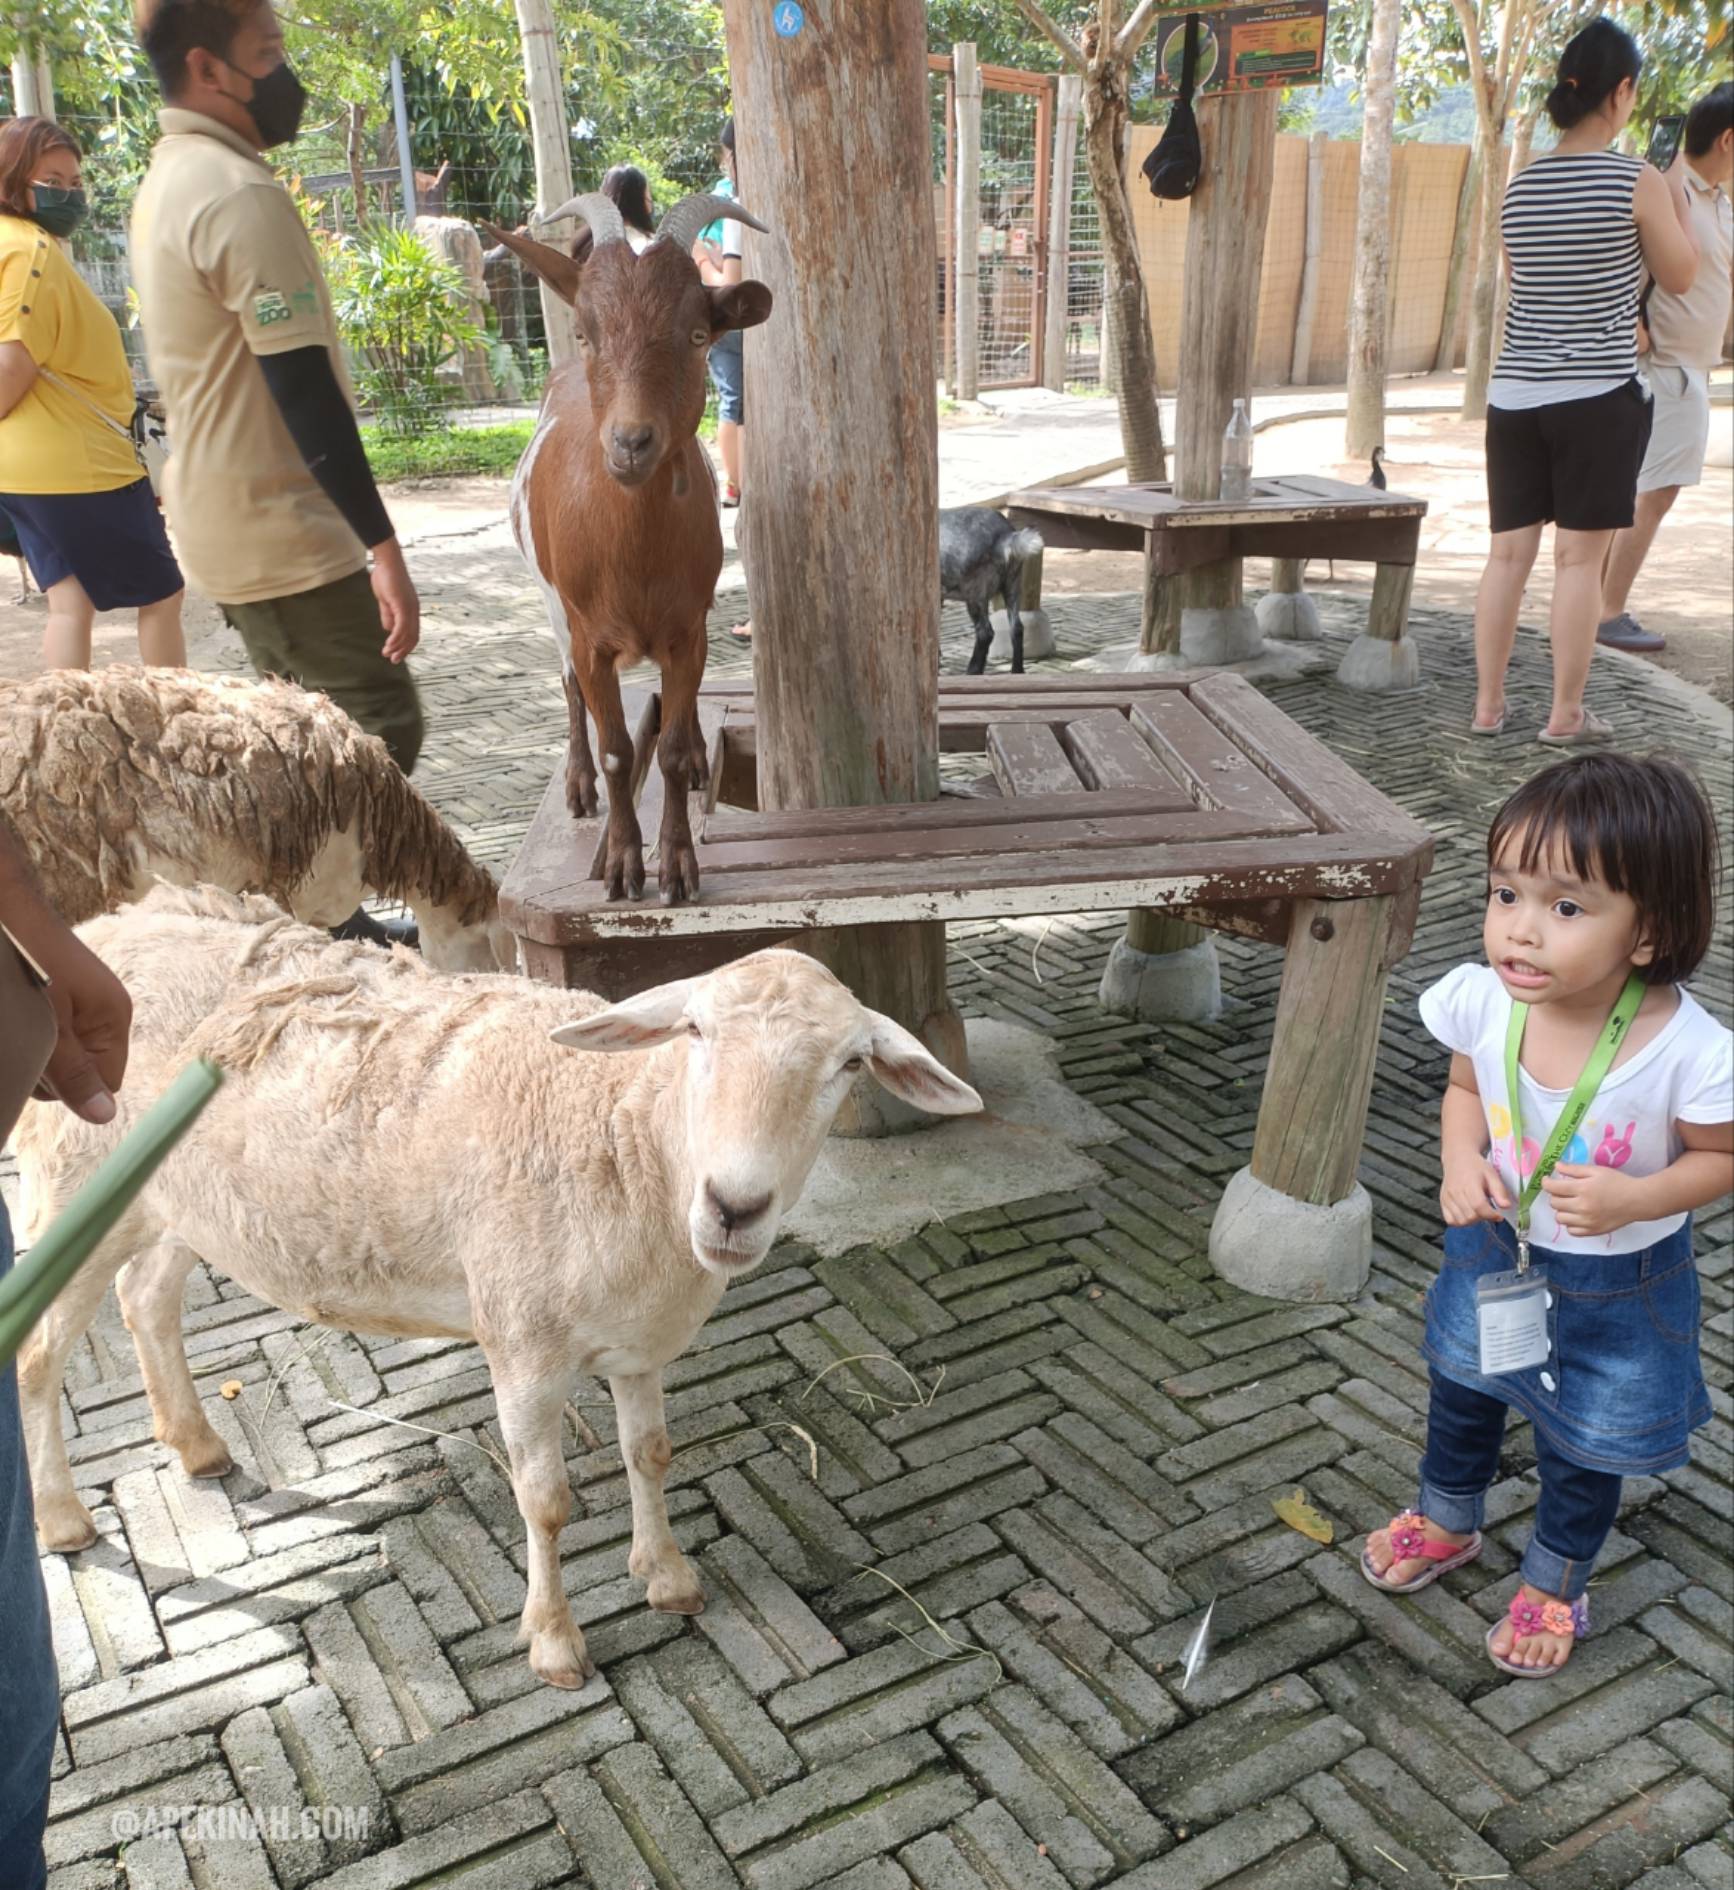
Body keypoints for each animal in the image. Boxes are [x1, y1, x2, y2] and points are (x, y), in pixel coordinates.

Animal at [16, 892, 975, 1693]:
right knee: (37, 1351)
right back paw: (64, 1518)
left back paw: (196, 1443)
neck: (626, 1135)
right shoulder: (521, 1342)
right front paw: (554, 1644)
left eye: (849, 1063)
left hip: (177, 1204)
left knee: (145, 1299)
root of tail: (108, 927)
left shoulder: (638, 1342)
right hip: (80, 1181)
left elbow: (651, 1455)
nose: (734, 1207)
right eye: (695, 1032)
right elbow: (543, 1502)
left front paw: (666, 1575)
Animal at [480, 191, 763, 899]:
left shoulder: (688, 630)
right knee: (567, 687)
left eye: (698, 335)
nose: (631, 442)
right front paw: (623, 861)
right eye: (585, 332)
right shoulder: (589, 637)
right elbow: (617, 751)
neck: (634, 557)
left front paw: (679, 863)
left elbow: (671, 751)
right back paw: (580, 788)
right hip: (552, 605)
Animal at [934, 506, 1043, 676]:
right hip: (1012, 584)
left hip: (975, 592)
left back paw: (972, 671)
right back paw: (1017, 671)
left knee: (985, 632)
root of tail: (1004, 536)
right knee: (1017, 628)